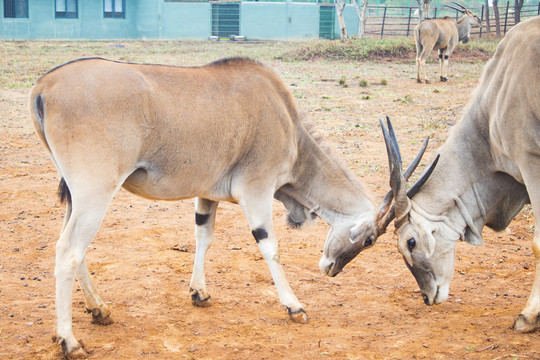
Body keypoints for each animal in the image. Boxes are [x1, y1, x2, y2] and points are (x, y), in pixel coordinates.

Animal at [29, 57, 426, 358]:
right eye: (370, 240)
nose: (330, 269)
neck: (288, 125)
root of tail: (43, 87)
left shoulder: (206, 195)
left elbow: (203, 235)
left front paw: (199, 293)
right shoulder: (257, 191)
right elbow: (270, 246)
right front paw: (294, 306)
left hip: (79, 197)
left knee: (74, 248)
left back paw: (99, 309)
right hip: (95, 192)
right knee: (68, 250)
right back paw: (69, 340)